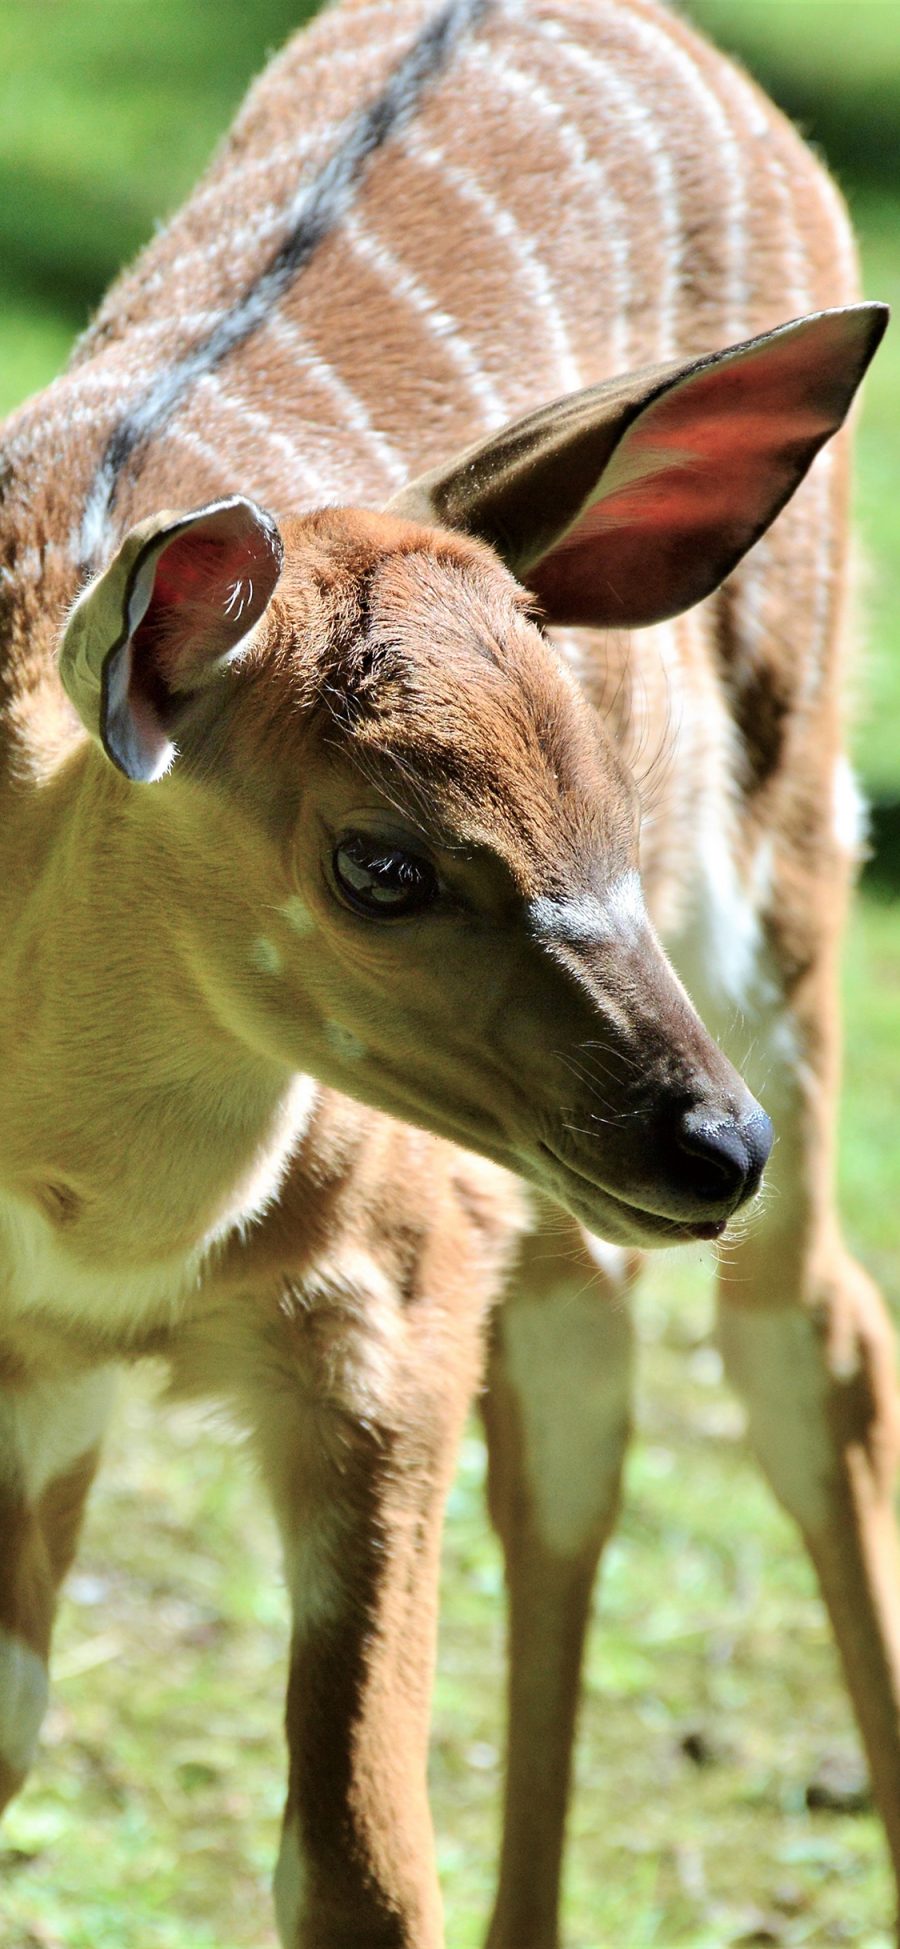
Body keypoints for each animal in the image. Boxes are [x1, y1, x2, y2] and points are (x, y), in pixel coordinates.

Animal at [0, 3, 892, 1949]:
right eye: (382, 860)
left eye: (606, 790)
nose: (706, 1143)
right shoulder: (27, 1368)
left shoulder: (377, 1326)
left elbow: (356, 1859)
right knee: (580, 1373)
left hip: (786, 886)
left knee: (811, 1342)